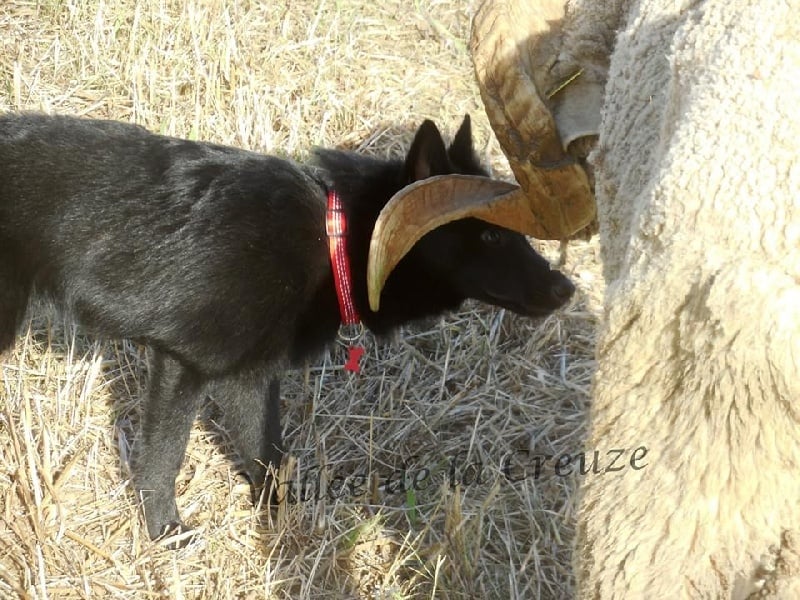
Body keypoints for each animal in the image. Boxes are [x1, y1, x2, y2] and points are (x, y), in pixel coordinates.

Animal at [0, 112, 575, 544]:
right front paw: (164, 533)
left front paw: (283, 523)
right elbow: (163, 461)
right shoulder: (184, 364)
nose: (566, 288)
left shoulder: (248, 379)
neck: (333, 241)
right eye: (492, 237)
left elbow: (268, 455)